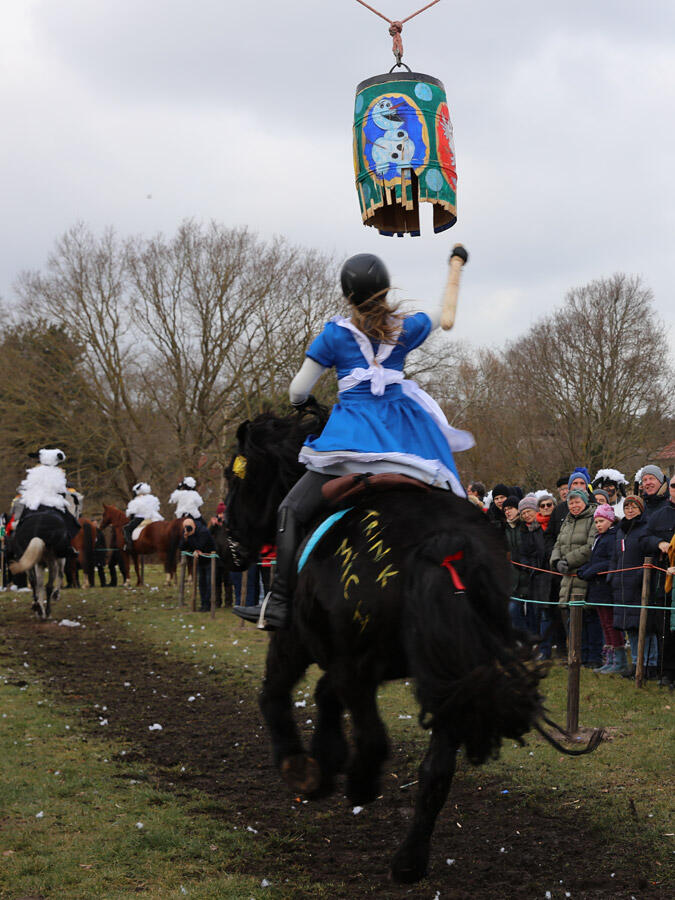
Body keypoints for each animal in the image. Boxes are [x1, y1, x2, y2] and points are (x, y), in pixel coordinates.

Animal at [223, 408, 604, 884]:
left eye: (233, 477)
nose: (228, 541)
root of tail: (442, 545)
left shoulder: (302, 641)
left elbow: (275, 694)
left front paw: (303, 767)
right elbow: (325, 694)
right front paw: (327, 756)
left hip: (369, 662)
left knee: (368, 728)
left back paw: (360, 783)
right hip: (456, 676)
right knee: (435, 770)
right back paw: (408, 859)